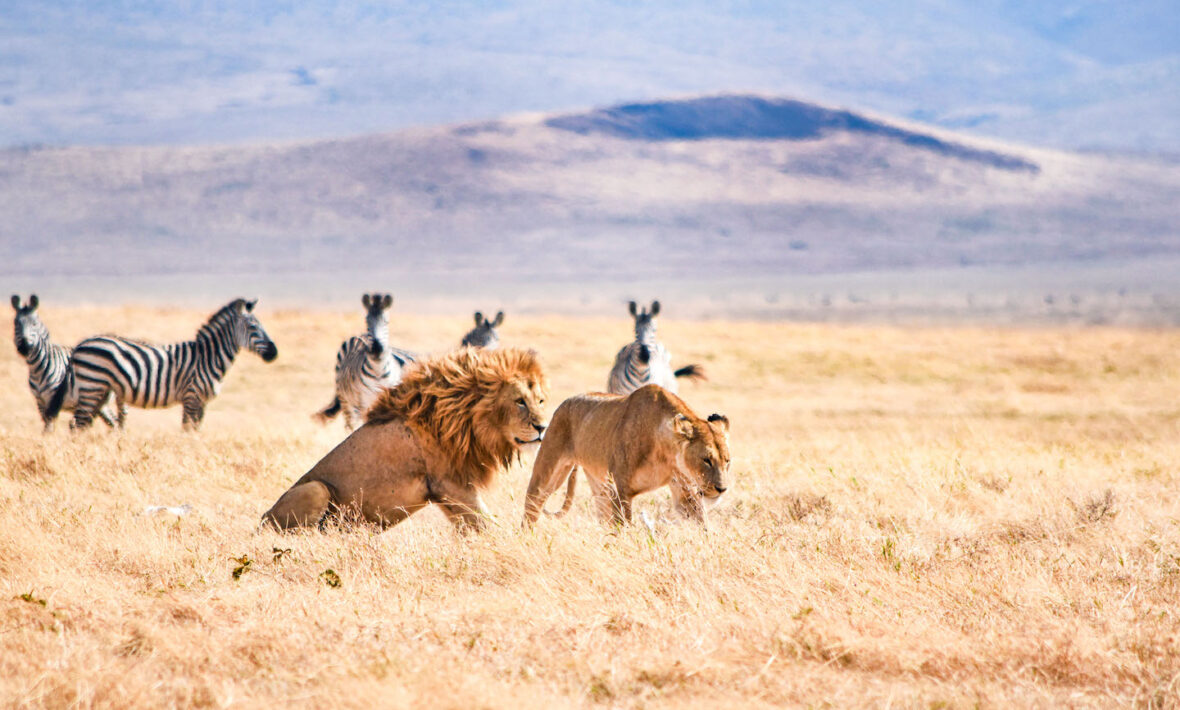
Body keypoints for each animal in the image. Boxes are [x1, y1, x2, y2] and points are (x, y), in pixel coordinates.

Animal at [10, 294, 117, 431]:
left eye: (34, 324)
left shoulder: (53, 398)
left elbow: (49, 426)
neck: (37, 368)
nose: (24, 347)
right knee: (113, 422)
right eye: (16, 324)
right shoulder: (40, 402)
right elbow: (47, 426)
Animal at [52, 296, 280, 429]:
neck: (208, 357)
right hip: (92, 386)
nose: (274, 353)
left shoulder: (202, 402)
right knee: (78, 425)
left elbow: (196, 432)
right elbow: (188, 431)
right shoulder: (191, 397)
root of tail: (80, 345)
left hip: (100, 390)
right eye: (253, 327)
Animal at [263, 344, 547, 528]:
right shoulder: (452, 484)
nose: (543, 427)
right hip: (316, 489)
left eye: (540, 400)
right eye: (520, 401)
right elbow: (486, 526)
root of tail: (262, 520)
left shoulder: (448, 494)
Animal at [316, 291, 417, 429]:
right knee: (350, 425)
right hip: (347, 402)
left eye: (386, 321)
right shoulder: (365, 403)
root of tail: (359, 336)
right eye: (367, 321)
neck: (378, 370)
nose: (376, 348)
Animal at [523, 382, 726, 526]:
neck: (666, 453)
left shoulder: (685, 493)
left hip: (601, 486)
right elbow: (623, 526)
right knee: (532, 504)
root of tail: (565, 402)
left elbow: (701, 524)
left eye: (727, 462)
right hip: (549, 471)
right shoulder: (621, 489)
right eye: (706, 460)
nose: (721, 489)